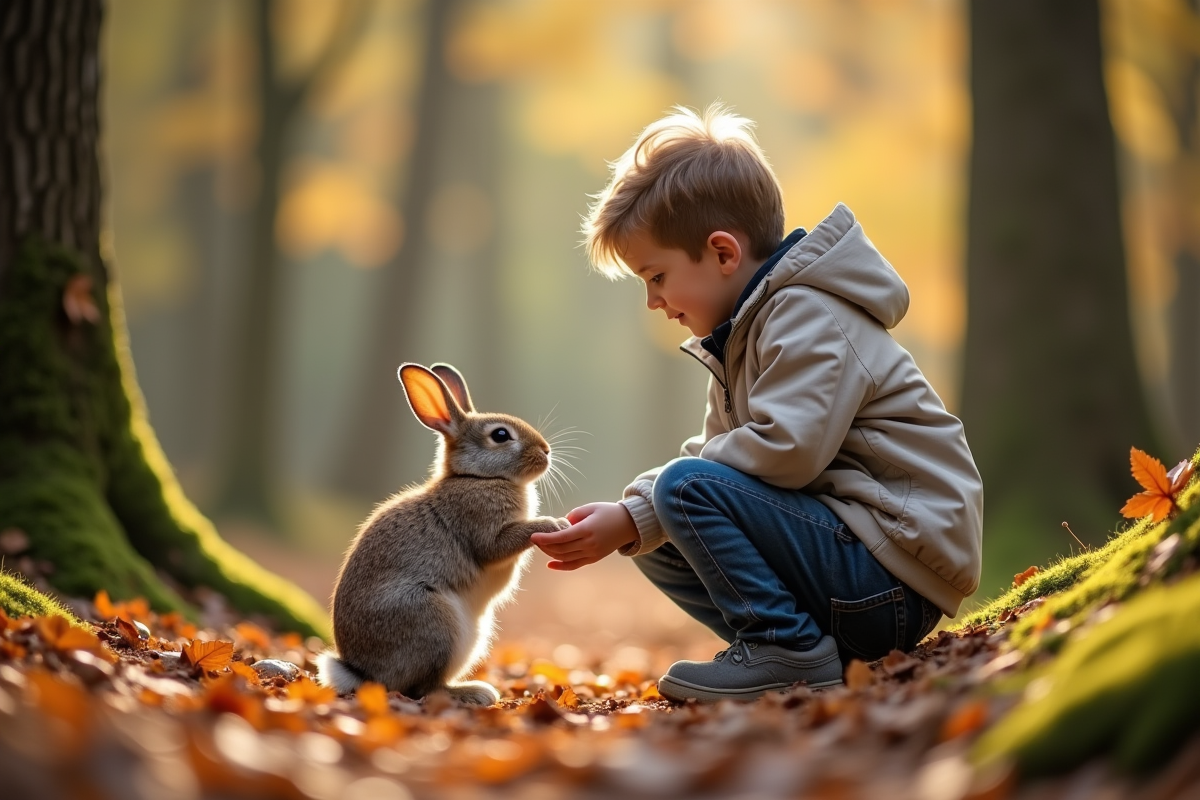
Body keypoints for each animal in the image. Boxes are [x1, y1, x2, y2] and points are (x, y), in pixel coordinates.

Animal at [315, 363, 568, 706]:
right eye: (501, 435)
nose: (546, 451)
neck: (476, 477)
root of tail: (362, 673)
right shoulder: (484, 533)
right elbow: (503, 542)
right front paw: (554, 524)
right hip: (434, 621)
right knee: (424, 689)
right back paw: (473, 692)